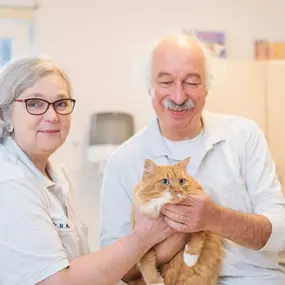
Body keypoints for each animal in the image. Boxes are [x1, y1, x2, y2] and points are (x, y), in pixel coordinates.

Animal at [129, 156, 222, 284]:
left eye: (181, 181)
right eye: (165, 181)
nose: (178, 191)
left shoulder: (200, 221)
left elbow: (197, 236)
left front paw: (190, 258)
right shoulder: (144, 241)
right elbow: (146, 263)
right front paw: (155, 281)